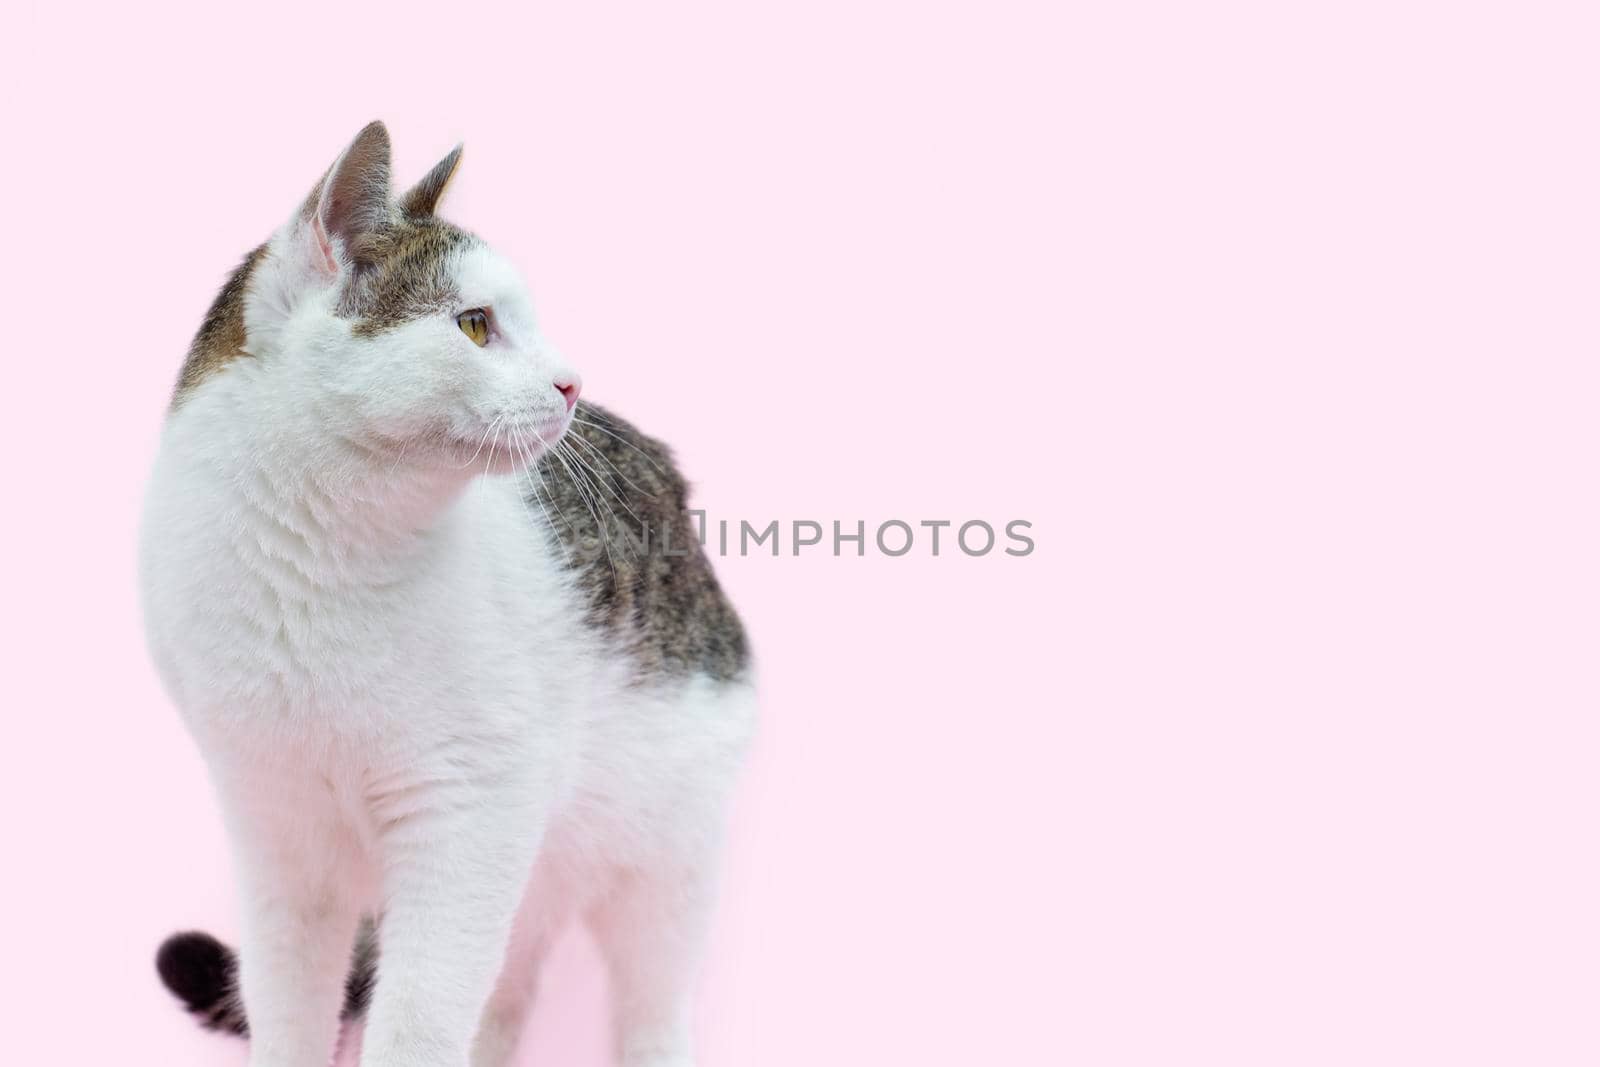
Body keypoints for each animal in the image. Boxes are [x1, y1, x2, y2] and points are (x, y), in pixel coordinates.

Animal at [139, 123, 755, 1067]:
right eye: (473, 325)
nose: (571, 384)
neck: (312, 569)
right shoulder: (277, 828)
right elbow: (287, 1004)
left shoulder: (470, 811)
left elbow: (419, 1021)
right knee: (502, 996)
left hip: (664, 848)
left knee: (647, 996)